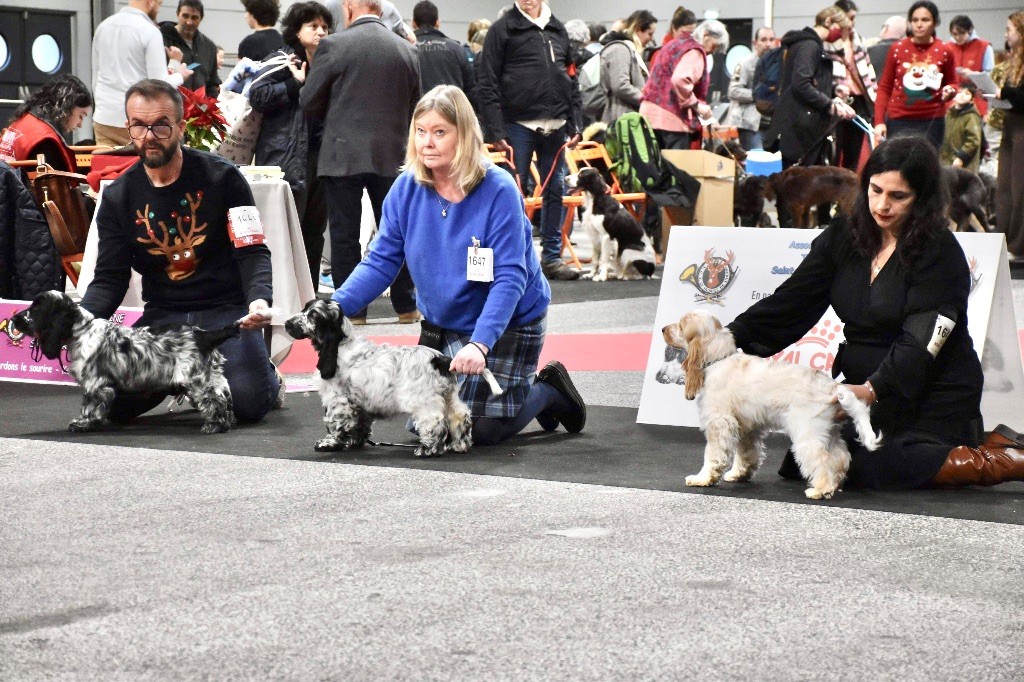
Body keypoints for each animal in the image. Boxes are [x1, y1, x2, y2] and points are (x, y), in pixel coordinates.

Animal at [11, 290, 238, 433]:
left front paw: (83, 424)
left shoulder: (95, 383)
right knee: (225, 397)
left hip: (196, 380)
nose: (14, 319)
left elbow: (89, 405)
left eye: (36, 308)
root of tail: (204, 336)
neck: (81, 330)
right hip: (212, 375)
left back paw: (215, 425)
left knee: (215, 400)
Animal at [285, 299, 499, 457]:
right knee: (460, 415)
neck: (340, 345)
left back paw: (428, 449)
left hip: (422, 399)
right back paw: (459, 445)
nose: (287, 323)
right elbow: (360, 423)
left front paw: (328, 444)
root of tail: (440, 359)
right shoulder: (360, 401)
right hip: (449, 395)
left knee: (434, 421)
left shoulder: (338, 400)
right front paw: (355, 441)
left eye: (313, 316)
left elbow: (335, 423)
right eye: (304, 309)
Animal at [661, 310, 881, 500]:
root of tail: (833, 387)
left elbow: (713, 455)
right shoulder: (746, 426)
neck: (717, 359)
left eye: (681, 325)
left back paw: (820, 490)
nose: (663, 329)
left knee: (822, 459)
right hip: (828, 431)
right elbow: (747, 453)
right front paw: (739, 474)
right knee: (840, 456)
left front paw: (702, 479)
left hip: (807, 431)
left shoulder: (719, 423)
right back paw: (834, 485)